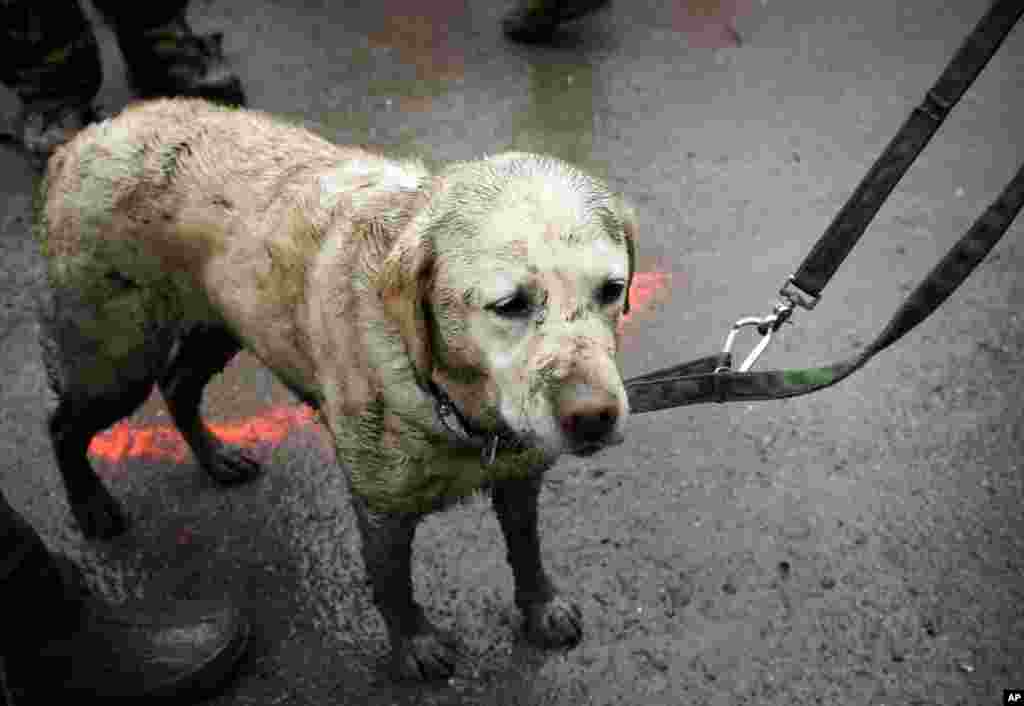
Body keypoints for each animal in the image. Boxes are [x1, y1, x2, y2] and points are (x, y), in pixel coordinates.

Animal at [37, 97, 630, 676]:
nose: (593, 418)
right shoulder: (380, 509)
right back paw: (90, 505)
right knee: (63, 425)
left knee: (179, 386)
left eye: (612, 289)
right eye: (509, 304)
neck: (451, 402)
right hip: (116, 361)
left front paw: (541, 607)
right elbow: (393, 586)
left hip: (218, 325)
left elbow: (526, 549)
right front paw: (414, 645)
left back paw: (216, 458)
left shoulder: (519, 476)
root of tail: (84, 138)